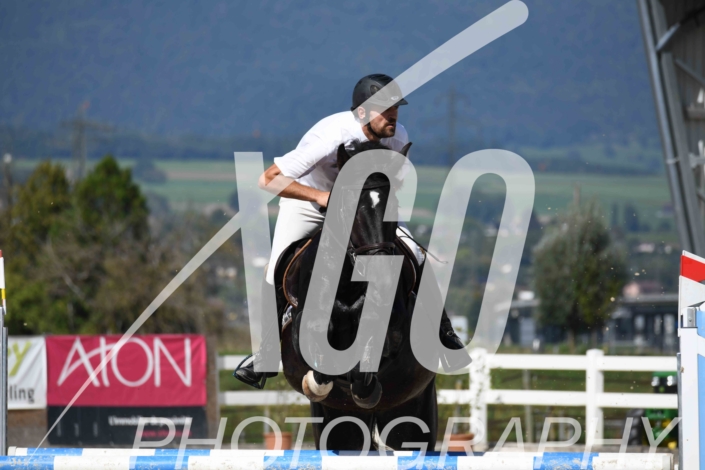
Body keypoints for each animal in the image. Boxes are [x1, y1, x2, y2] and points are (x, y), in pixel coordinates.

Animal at [273, 139, 438, 451]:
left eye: (394, 205)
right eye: (349, 205)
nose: (382, 275)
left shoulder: (392, 332)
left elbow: (370, 354)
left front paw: (364, 387)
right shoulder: (301, 323)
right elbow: (319, 345)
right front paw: (318, 383)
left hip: (414, 414)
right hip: (337, 426)